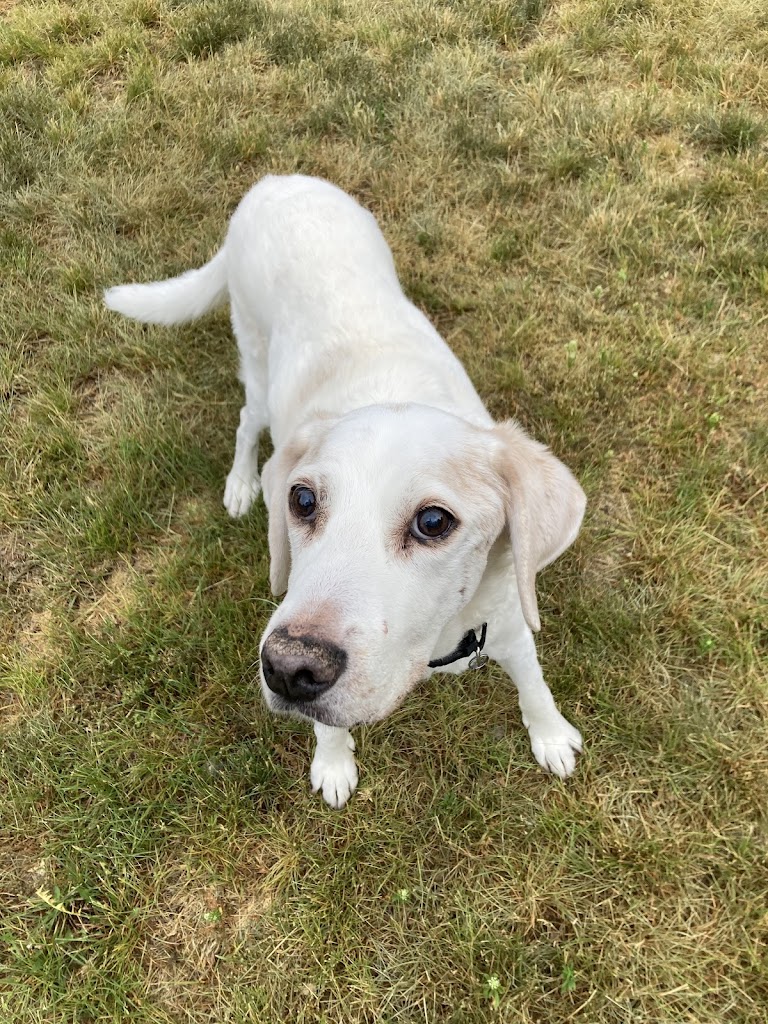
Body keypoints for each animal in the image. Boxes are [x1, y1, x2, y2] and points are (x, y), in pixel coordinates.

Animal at [104, 175, 586, 808]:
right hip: (256, 364)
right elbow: (329, 730)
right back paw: (240, 483)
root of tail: (274, 182)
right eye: (302, 501)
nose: (288, 669)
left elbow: (534, 684)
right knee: (245, 423)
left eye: (434, 522)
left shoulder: (509, 616)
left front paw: (551, 734)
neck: (437, 643)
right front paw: (333, 762)